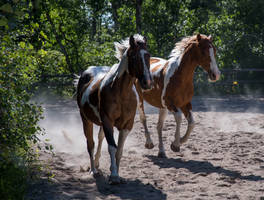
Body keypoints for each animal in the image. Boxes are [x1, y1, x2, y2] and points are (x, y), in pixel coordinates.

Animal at [76, 34, 153, 184]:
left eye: (148, 55)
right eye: (134, 56)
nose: (147, 82)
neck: (121, 93)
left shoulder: (127, 125)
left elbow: (120, 150)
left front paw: (118, 174)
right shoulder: (107, 121)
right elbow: (112, 147)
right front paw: (113, 176)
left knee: (100, 138)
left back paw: (97, 164)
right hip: (85, 119)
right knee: (91, 143)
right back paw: (93, 170)